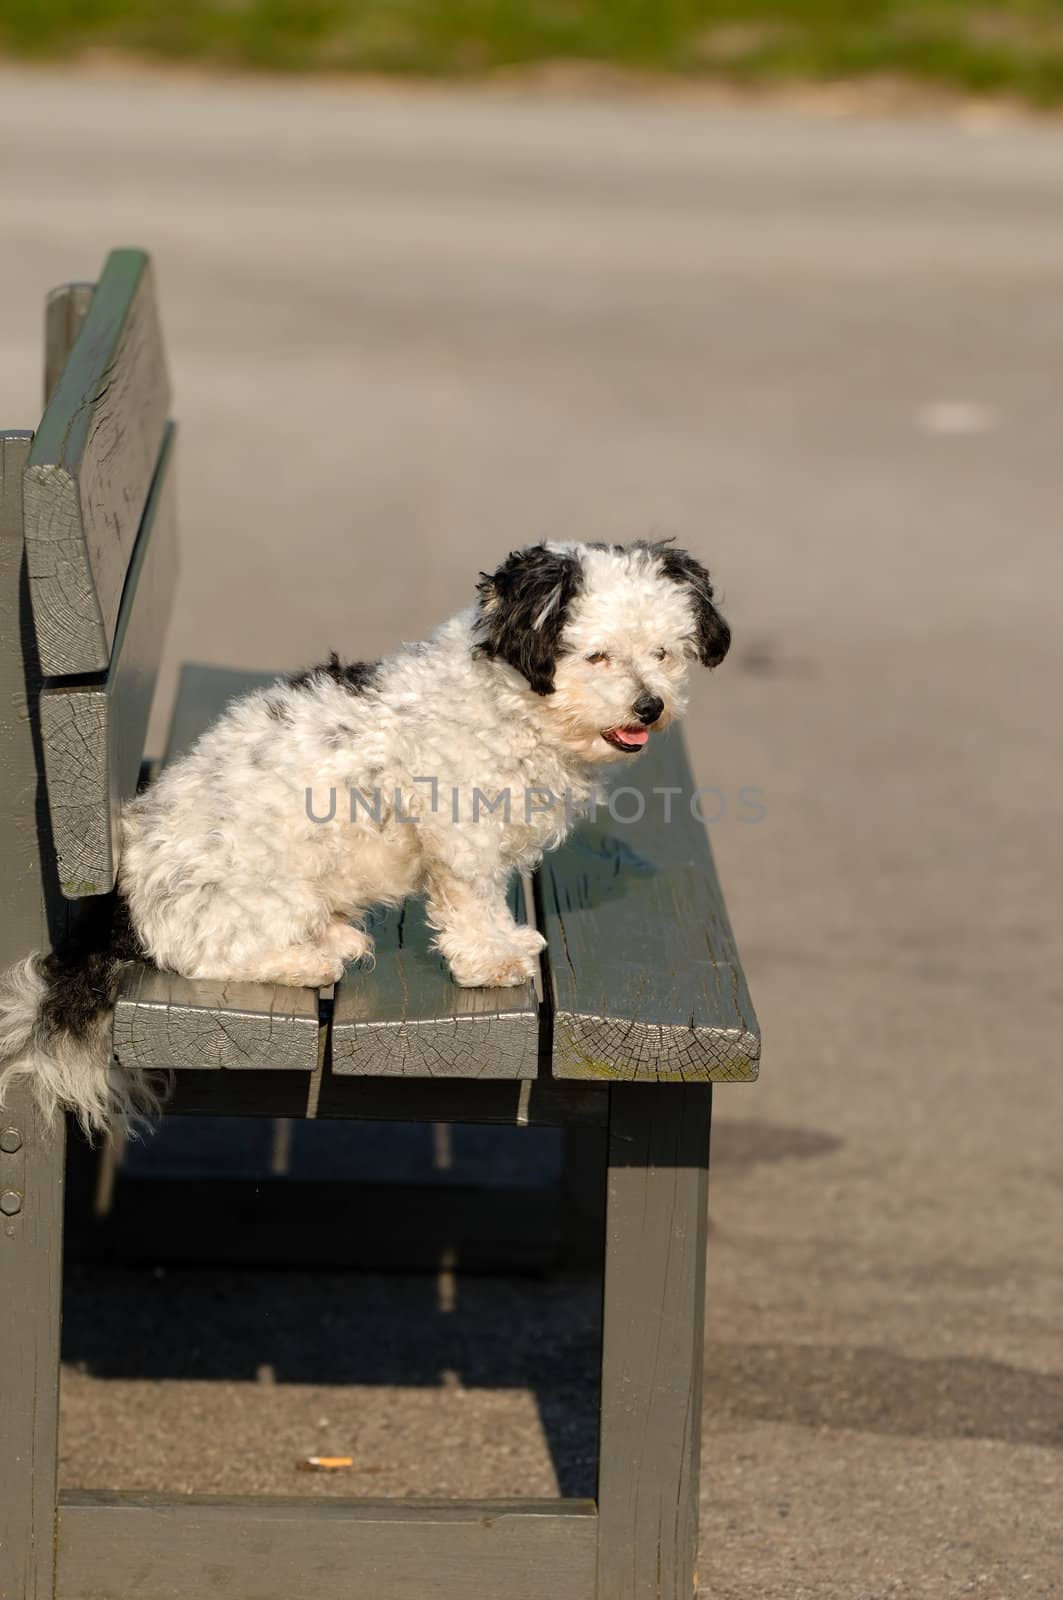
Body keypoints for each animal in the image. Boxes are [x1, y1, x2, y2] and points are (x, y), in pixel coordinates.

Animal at [0, 544, 726, 1132]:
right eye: (596, 655)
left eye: (663, 652)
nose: (650, 706)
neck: (510, 703)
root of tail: (124, 905)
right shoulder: (461, 833)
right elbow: (472, 903)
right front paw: (488, 961)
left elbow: (491, 902)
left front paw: (508, 941)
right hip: (266, 891)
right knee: (209, 956)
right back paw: (309, 958)